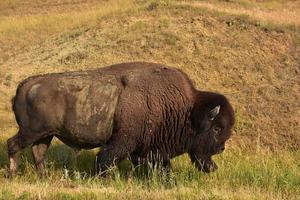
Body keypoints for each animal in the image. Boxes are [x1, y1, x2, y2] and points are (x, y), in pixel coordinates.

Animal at [7, 61, 234, 176]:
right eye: (216, 128)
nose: (221, 148)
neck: (187, 110)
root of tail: (26, 84)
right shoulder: (122, 141)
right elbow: (106, 160)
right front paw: (104, 178)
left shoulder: (149, 149)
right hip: (30, 132)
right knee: (13, 145)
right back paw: (12, 174)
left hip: (45, 134)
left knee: (38, 153)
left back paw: (42, 176)